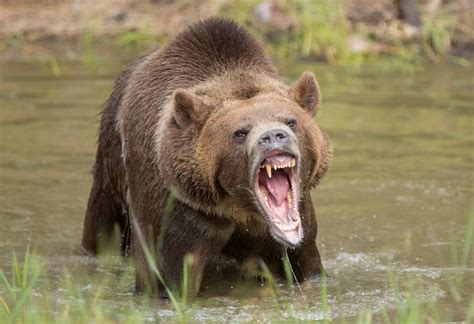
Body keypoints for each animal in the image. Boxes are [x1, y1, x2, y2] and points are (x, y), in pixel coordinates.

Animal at [81, 17, 332, 296]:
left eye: (291, 121)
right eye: (240, 132)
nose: (273, 136)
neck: (240, 208)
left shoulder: (297, 223)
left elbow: (306, 264)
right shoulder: (180, 212)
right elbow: (169, 276)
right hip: (111, 164)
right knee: (103, 223)